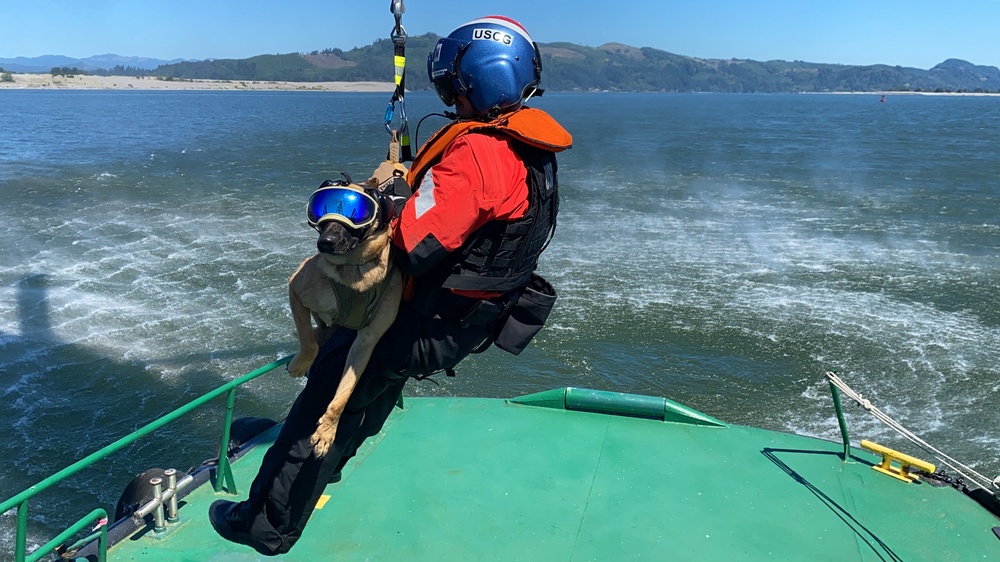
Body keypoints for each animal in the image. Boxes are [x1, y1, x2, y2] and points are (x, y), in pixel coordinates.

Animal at [286, 177, 402, 458]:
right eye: (321, 211)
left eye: (355, 213)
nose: (325, 242)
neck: (355, 270)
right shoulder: (295, 288)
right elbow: (308, 344)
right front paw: (300, 364)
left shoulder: (366, 342)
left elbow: (344, 393)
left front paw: (328, 430)